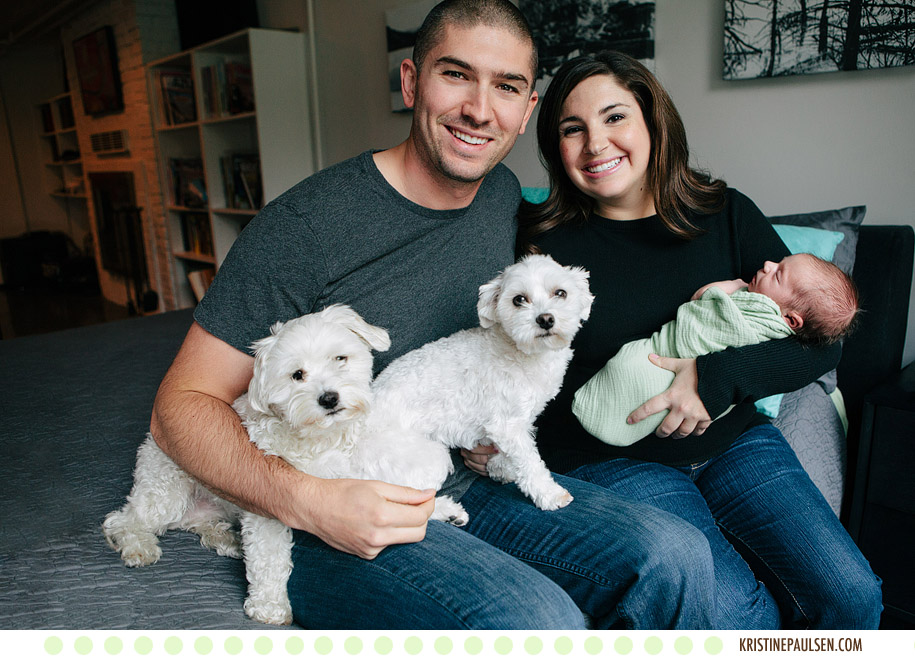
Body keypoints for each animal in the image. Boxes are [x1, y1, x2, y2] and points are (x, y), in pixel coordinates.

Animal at [105, 304, 466, 624]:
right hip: (167, 491)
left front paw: (443, 508)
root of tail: (152, 440)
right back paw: (138, 545)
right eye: (297, 375)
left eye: (340, 358)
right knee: (124, 520)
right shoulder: (273, 502)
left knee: (197, 523)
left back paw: (226, 539)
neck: (326, 438)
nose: (329, 398)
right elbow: (269, 558)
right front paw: (270, 607)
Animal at [372, 255, 592, 512]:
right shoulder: (507, 425)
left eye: (560, 293)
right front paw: (549, 494)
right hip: (426, 457)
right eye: (519, 299)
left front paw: (500, 467)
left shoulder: (517, 422)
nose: (546, 319)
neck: (521, 352)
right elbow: (529, 462)